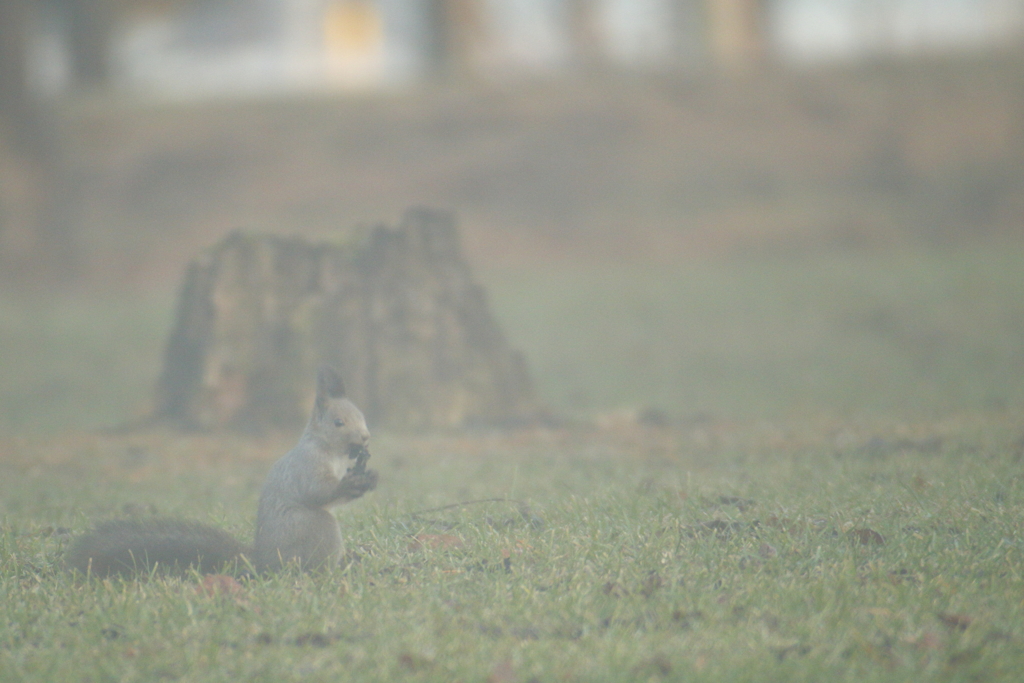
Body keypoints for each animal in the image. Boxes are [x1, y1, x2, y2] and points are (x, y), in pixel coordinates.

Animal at [68, 366, 380, 573]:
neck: (332, 451)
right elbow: (318, 491)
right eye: (338, 422)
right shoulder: (307, 464)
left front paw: (370, 478)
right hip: (315, 529)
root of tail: (263, 562)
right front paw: (351, 483)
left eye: (363, 416)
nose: (366, 438)